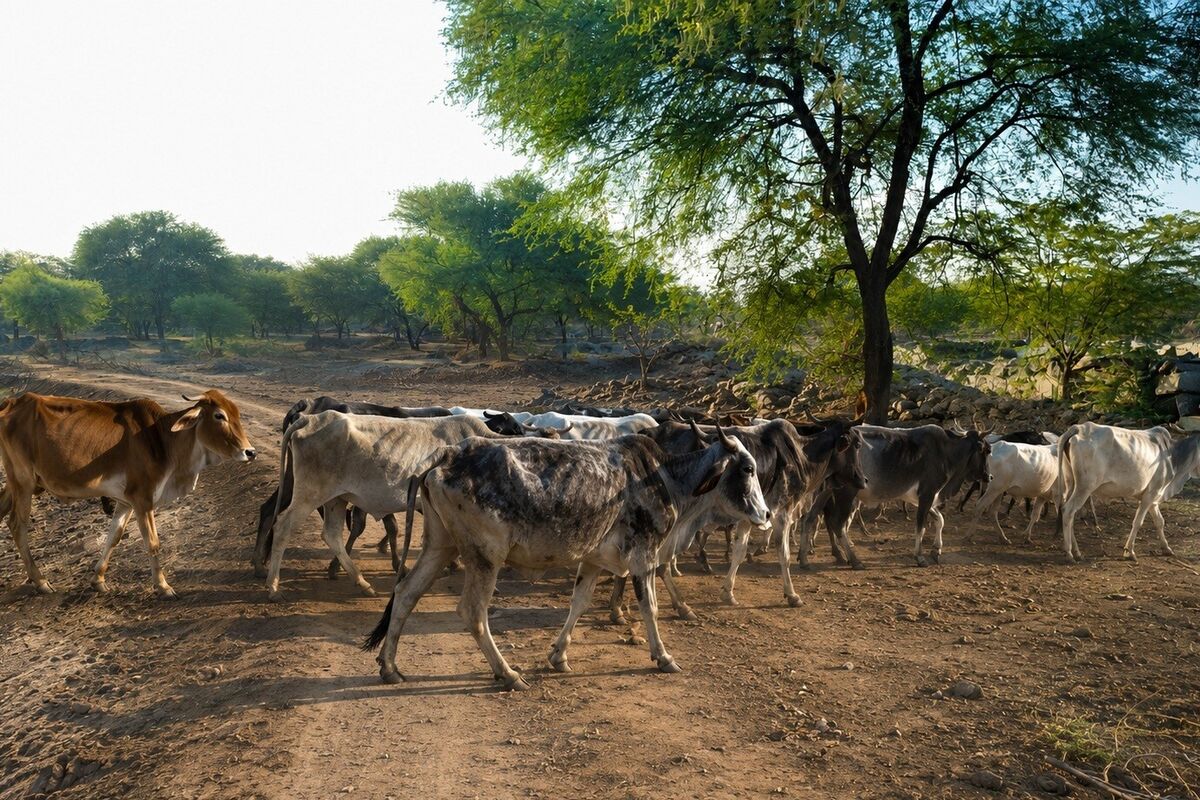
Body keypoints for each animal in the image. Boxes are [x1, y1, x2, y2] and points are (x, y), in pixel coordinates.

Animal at [0, 390, 255, 597]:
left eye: (237, 414)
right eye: (219, 416)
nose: (250, 452)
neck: (162, 440)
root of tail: (12, 403)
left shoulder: (126, 502)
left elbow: (114, 536)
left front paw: (98, 580)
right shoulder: (142, 499)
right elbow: (152, 542)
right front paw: (163, 586)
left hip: (17, 484)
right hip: (23, 481)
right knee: (17, 525)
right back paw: (41, 581)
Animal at [264, 412, 529, 601]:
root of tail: (309, 418)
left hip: (336, 498)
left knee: (331, 534)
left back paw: (362, 583)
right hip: (310, 494)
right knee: (283, 527)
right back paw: (273, 587)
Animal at [362, 425, 771, 690]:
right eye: (748, 469)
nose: (766, 514)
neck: (664, 478)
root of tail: (445, 456)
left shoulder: (592, 560)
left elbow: (579, 602)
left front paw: (558, 655)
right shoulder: (644, 555)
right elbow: (650, 608)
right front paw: (664, 657)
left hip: (439, 544)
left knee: (406, 594)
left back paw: (390, 667)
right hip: (484, 557)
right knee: (472, 612)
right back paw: (507, 674)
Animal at [803, 424, 992, 567]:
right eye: (986, 450)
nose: (989, 476)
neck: (946, 451)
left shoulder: (917, 498)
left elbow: (940, 520)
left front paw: (936, 550)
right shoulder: (928, 493)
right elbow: (921, 525)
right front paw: (920, 557)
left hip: (826, 491)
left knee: (811, 517)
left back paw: (814, 557)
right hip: (847, 492)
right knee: (837, 523)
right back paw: (854, 560)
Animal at [1057, 422, 1200, 562]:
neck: (1172, 455)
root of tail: (1079, 428)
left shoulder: (1154, 499)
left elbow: (1160, 521)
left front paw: (1166, 548)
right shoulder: (1151, 494)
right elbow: (1138, 522)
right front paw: (1129, 551)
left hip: (1072, 484)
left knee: (1068, 513)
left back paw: (1076, 552)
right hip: (1085, 487)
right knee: (1068, 511)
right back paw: (1069, 553)